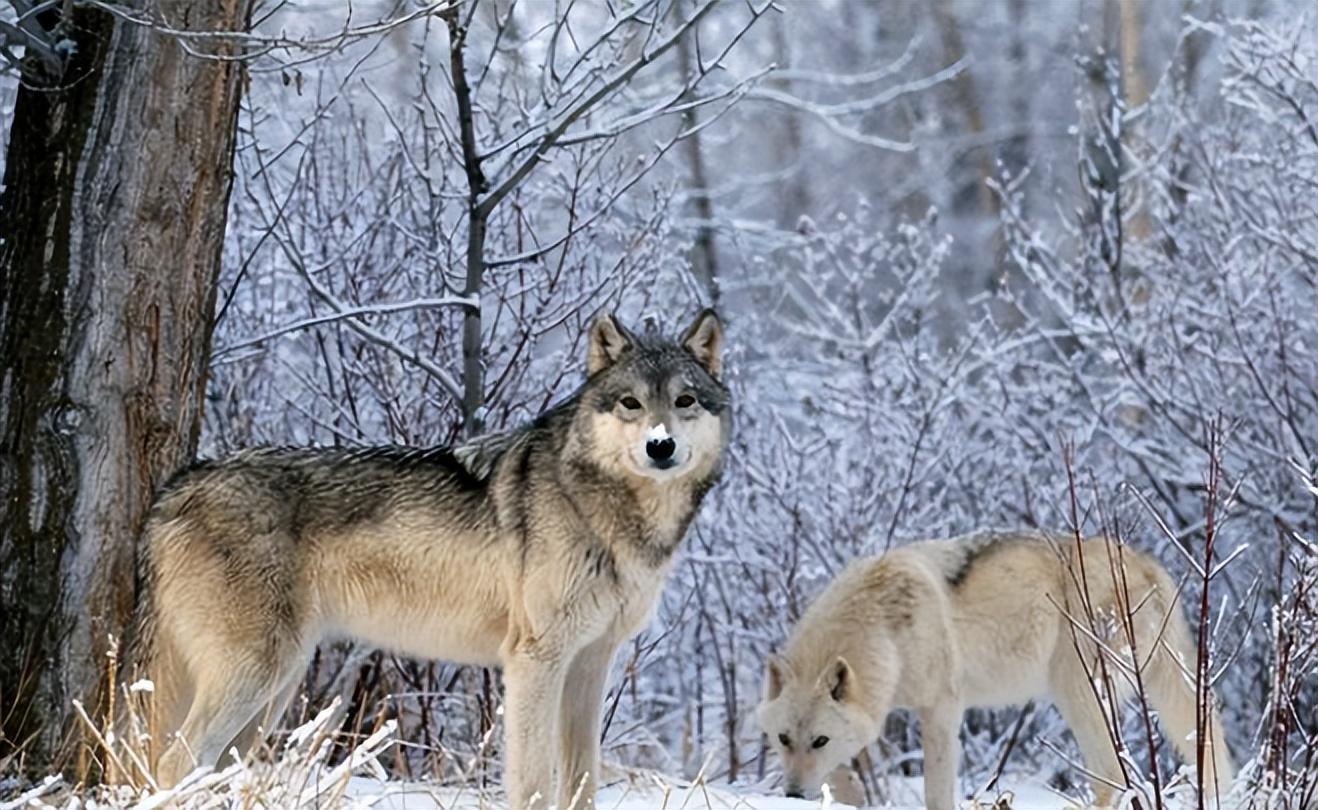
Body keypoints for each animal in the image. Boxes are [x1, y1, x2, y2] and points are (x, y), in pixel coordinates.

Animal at [127, 306, 732, 806]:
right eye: (631, 402)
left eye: (684, 401)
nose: (660, 445)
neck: (605, 509)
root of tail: (175, 488)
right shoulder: (535, 662)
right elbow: (534, 783)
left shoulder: (590, 663)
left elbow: (581, 784)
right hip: (257, 674)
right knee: (175, 759)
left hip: (275, 689)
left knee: (210, 766)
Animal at [759, 532, 1228, 810]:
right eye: (783, 739)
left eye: (819, 740)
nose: (792, 794)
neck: (883, 627)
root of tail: (1146, 563)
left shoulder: (941, 711)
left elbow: (936, 793)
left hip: (1077, 694)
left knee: (1112, 777)